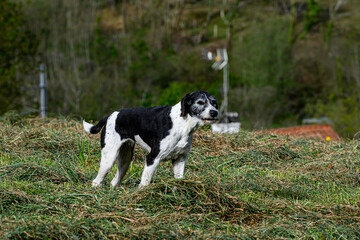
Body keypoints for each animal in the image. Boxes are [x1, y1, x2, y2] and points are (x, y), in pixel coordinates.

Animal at [83, 90, 219, 188]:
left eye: (214, 102)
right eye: (200, 102)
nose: (214, 112)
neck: (182, 123)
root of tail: (109, 116)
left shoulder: (180, 159)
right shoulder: (152, 158)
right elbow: (145, 181)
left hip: (125, 160)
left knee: (114, 181)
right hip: (109, 158)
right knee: (96, 181)